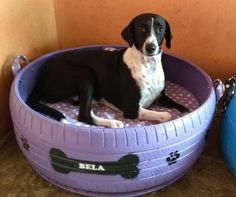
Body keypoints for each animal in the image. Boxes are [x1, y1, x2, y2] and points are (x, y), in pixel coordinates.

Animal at [27, 13, 188, 127]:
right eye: (142, 28)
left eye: (160, 29)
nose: (151, 48)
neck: (148, 65)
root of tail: (41, 76)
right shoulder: (131, 109)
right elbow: (166, 115)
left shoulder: (160, 96)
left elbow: (181, 107)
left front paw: (187, 113)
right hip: (85, 73)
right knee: (83, 115)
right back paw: (112, 123)